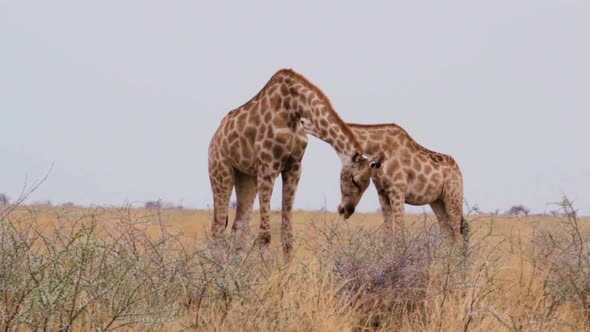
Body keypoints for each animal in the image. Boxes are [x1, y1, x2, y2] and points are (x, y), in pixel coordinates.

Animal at [210, 68, 372, 260]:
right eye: (354, 180)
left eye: (368, 186)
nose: (347, 210)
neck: (293, 108)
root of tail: (215, 136)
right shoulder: (268, 166)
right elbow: (264, 236)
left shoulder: (294, 168)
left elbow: (287, 236)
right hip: (220, 171)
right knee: (218, 229)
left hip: (247, 177)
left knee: (238, 227)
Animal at [340, 123, 470, 248]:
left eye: (352, 179)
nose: (344, 210)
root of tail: (458, 170)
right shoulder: (382, 193)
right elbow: (387, 237)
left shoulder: (397, 192)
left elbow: (398, 235)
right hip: (437, 201)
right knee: (446, 232)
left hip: (453, 197)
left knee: (458, 233)